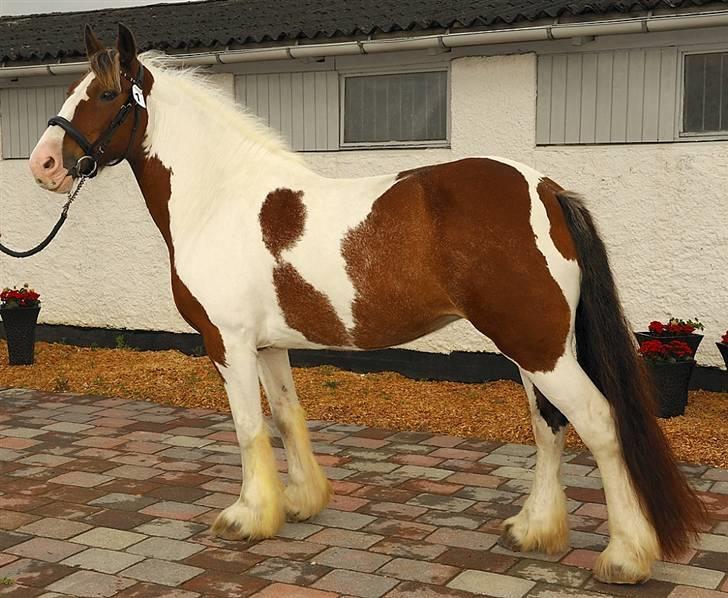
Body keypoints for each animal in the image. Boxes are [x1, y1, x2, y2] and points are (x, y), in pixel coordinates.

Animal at [31, 24, 708, 584]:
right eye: (72, 88)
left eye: (106, 95)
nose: (43, 165)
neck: (219, 198)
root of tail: (545, 189)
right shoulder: (268, 344)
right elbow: (286, 417)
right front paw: (300, 502)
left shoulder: (228, 341)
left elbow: (248, 426)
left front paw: (247, 517)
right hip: (535, 347)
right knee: (549, 426)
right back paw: (534, 530)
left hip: (538, 347)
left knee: (597, 423)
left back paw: (624, 557)